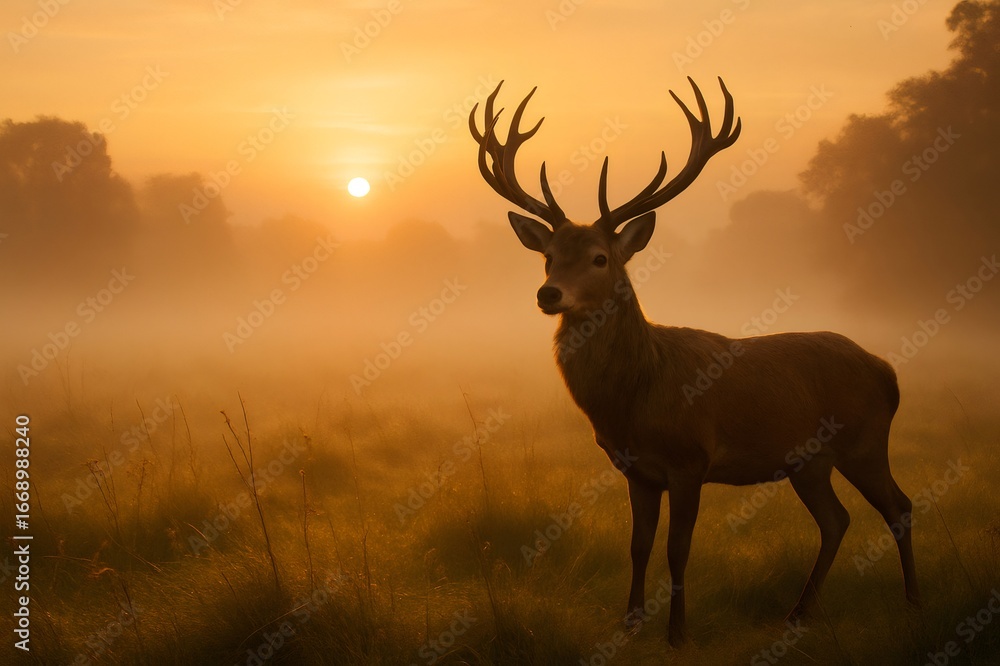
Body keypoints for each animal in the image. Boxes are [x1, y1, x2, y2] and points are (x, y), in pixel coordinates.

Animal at [469, 77, 920, 646]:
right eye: (547, 256)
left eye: (600, 257)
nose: (548, 294)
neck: (636, 397)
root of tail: (888, 372)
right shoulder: (636, 470)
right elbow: (638, 546)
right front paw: (630, 622)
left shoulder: (690, 460)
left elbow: (677, 548)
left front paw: (677, 631)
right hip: (809, 461)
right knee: (836, 519)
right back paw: (799, 613)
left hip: (864, 440)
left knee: (899, 506)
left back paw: (913, 602)